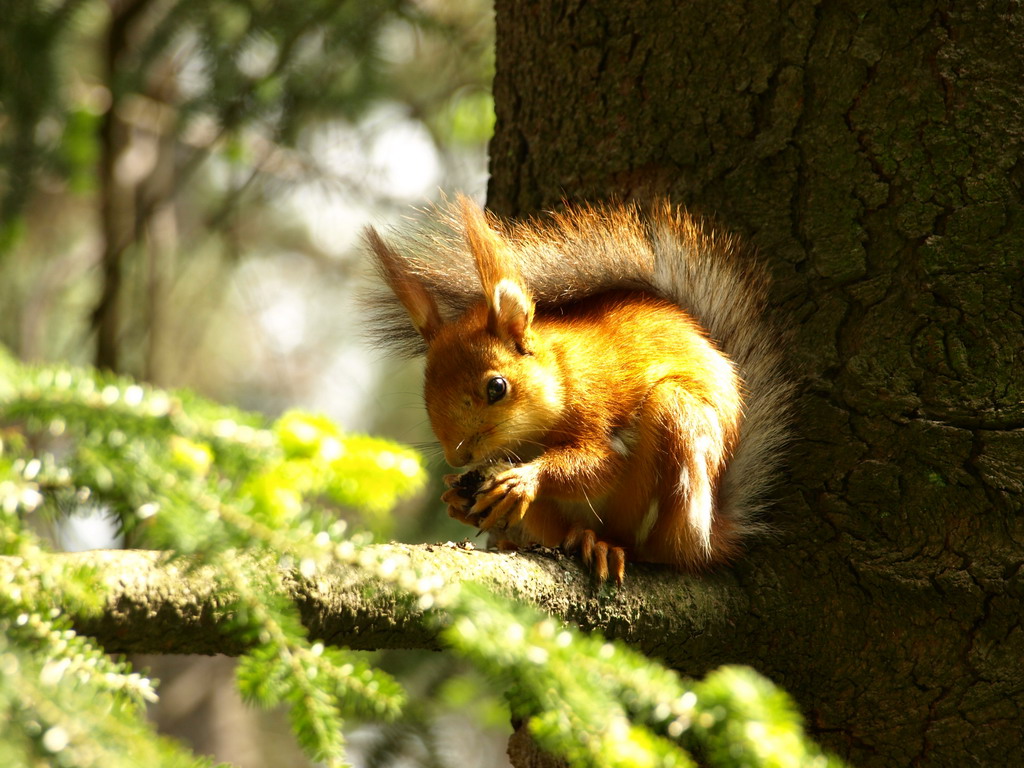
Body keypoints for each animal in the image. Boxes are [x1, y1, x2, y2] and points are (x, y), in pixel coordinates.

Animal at [368, 196, 790, 581]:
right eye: (426, 394)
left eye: (497, 387)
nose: (458, 459)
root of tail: (710, 536)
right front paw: (457, 496)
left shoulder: (595, 404)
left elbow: (601, 464)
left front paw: (526, 478)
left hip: (675, 428)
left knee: (648, 543)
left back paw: (608, 545)